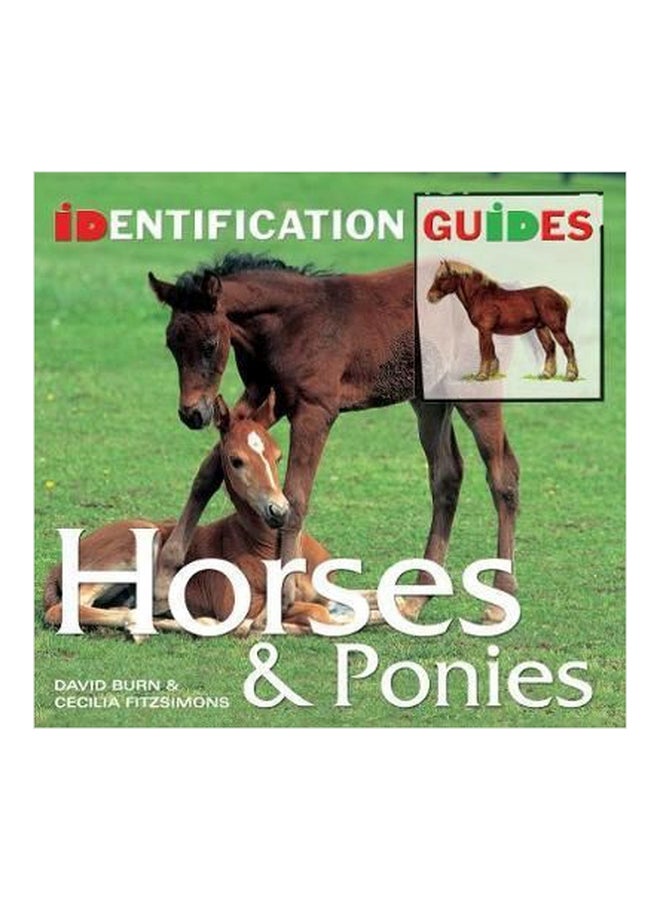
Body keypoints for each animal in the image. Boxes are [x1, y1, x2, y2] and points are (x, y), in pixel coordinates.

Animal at [43, 394, 349, 638]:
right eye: (236, 461)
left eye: (278, 456)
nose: (279, 511)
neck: (265, 546)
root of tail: (56, 567)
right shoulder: (238, 603)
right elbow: (316, 613)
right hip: (134, 547)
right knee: (63, 609)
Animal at [148, 252, 520, 623]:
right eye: (170, 344)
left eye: (209, 345)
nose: (192, 413)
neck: (289, 325)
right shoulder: (263, 397)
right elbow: (209, 471)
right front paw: (165, 574)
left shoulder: (315, 410)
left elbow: (295, 496)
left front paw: (286, 593)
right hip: (429, 402)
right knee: (447, 476)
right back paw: (415, 600)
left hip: (473, 394)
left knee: (503, 476)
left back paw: (497, 601)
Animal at [427, 259, 578, 382]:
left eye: (443, 276)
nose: (430, 297)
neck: (480, 296)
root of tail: (560, 297)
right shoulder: (487, 331)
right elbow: (491, 350)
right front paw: (492, 373)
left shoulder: (484, 330)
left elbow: (484, 351)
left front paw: (482, 375)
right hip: (541, 328)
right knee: (550, 347)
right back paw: (547, 374)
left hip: (556, 328)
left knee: (568, 346)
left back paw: (570, 375)